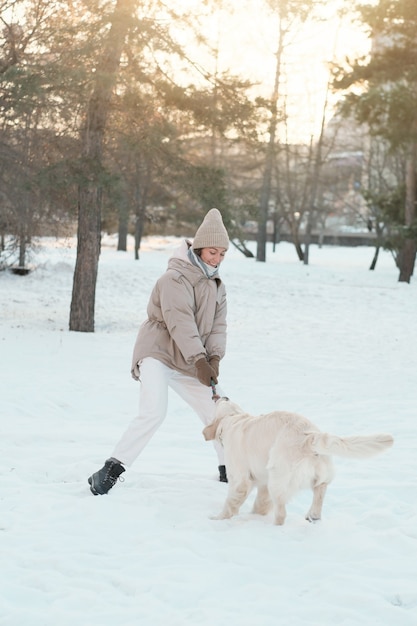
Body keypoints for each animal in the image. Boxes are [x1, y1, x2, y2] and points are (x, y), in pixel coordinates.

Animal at [203, 398, 392, 524]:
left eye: (222, 401)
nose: (223, 396)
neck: (233, 419)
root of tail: (309, 436)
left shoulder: (240, 479)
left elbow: (231, 502)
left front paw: (218, 518)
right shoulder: (263, 481)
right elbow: (261, 502)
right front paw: (255, 515)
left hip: (278, 479)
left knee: (281, 513)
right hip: (312, 474)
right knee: (320, 489)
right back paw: (313, 516)